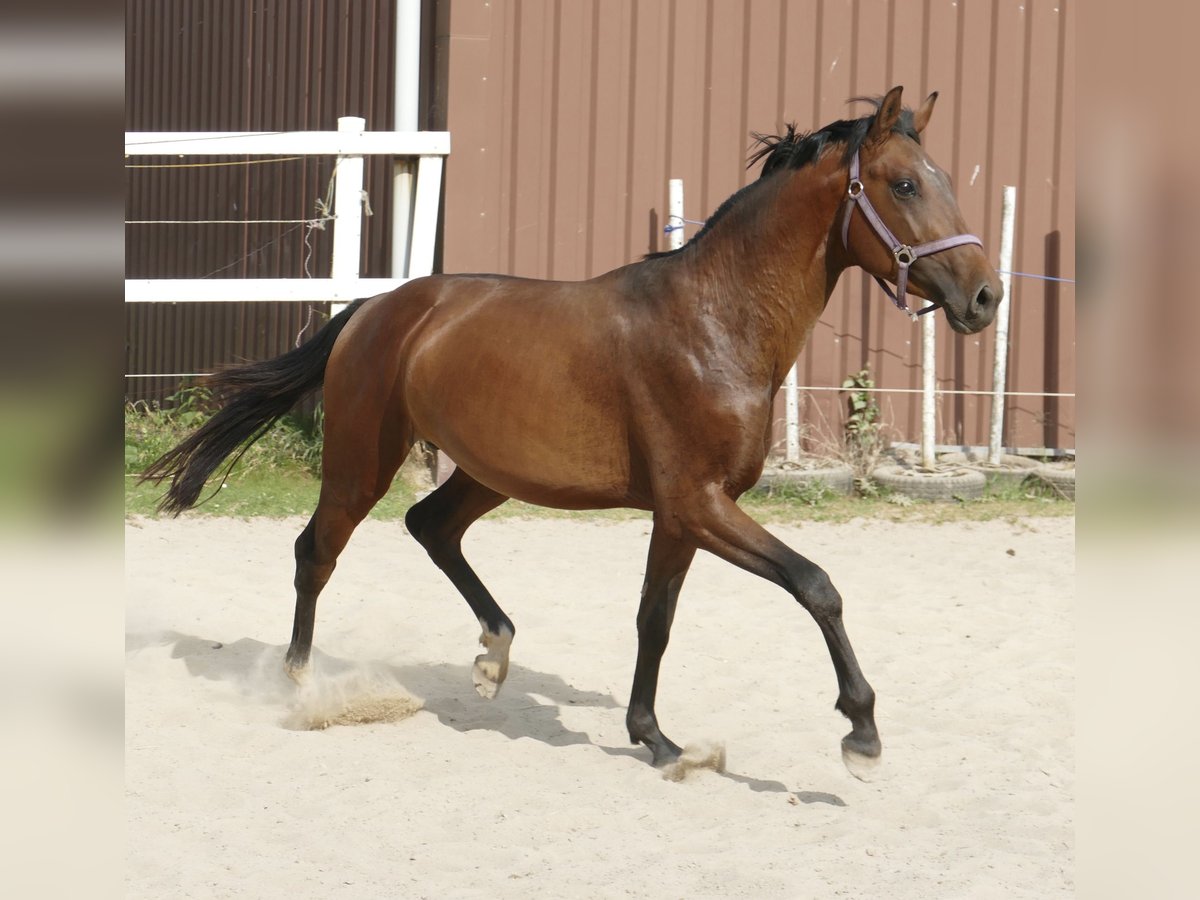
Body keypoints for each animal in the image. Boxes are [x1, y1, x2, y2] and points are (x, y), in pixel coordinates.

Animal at [142, 90, 1003, 782]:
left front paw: (657, 740)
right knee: (316, 551)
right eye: (904, 184)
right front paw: (861, 737)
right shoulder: (700, 504)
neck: (717, 324)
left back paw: (493, 655)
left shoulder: (681, 515)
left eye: (945, 180)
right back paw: (298, 686)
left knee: (430, 527)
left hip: (489, 471)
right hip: (363, 461)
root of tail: (376, 307)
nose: (986, 296)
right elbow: (817, 586)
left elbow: (655, 622)